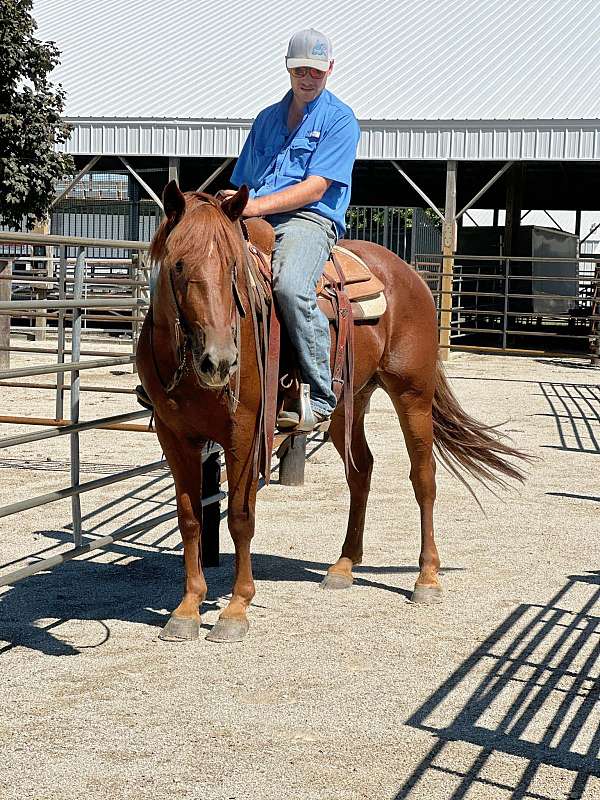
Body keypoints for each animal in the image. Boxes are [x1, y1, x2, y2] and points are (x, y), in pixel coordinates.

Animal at [136, 181, 524, 644]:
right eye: (178, 264)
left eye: (233, 266)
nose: (220, 361)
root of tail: (408, 273)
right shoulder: (174, 435)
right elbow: (190, 518)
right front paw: (188, 608)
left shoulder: (245, 432)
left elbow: (241, 518)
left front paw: (235, 609)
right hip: (347, 406)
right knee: (361, 471)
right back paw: (344, 566)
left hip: (412, 395)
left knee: (423, 477)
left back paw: (426, 578)